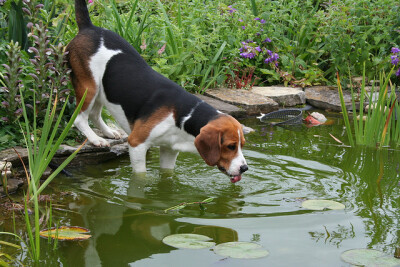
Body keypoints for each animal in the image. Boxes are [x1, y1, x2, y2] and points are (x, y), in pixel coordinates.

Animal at [66, 0, 247, 182]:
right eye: (231, 146)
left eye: (242, 145)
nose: (244, 168)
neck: (183, 115)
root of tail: (88, 27)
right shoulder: (137, 144)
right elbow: (140, 176)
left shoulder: (170, 150)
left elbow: (167, 175)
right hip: (89, 86)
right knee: (79, 118)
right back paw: (96, 139)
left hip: (101, 90)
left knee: (94, 114)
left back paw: (108, 132)